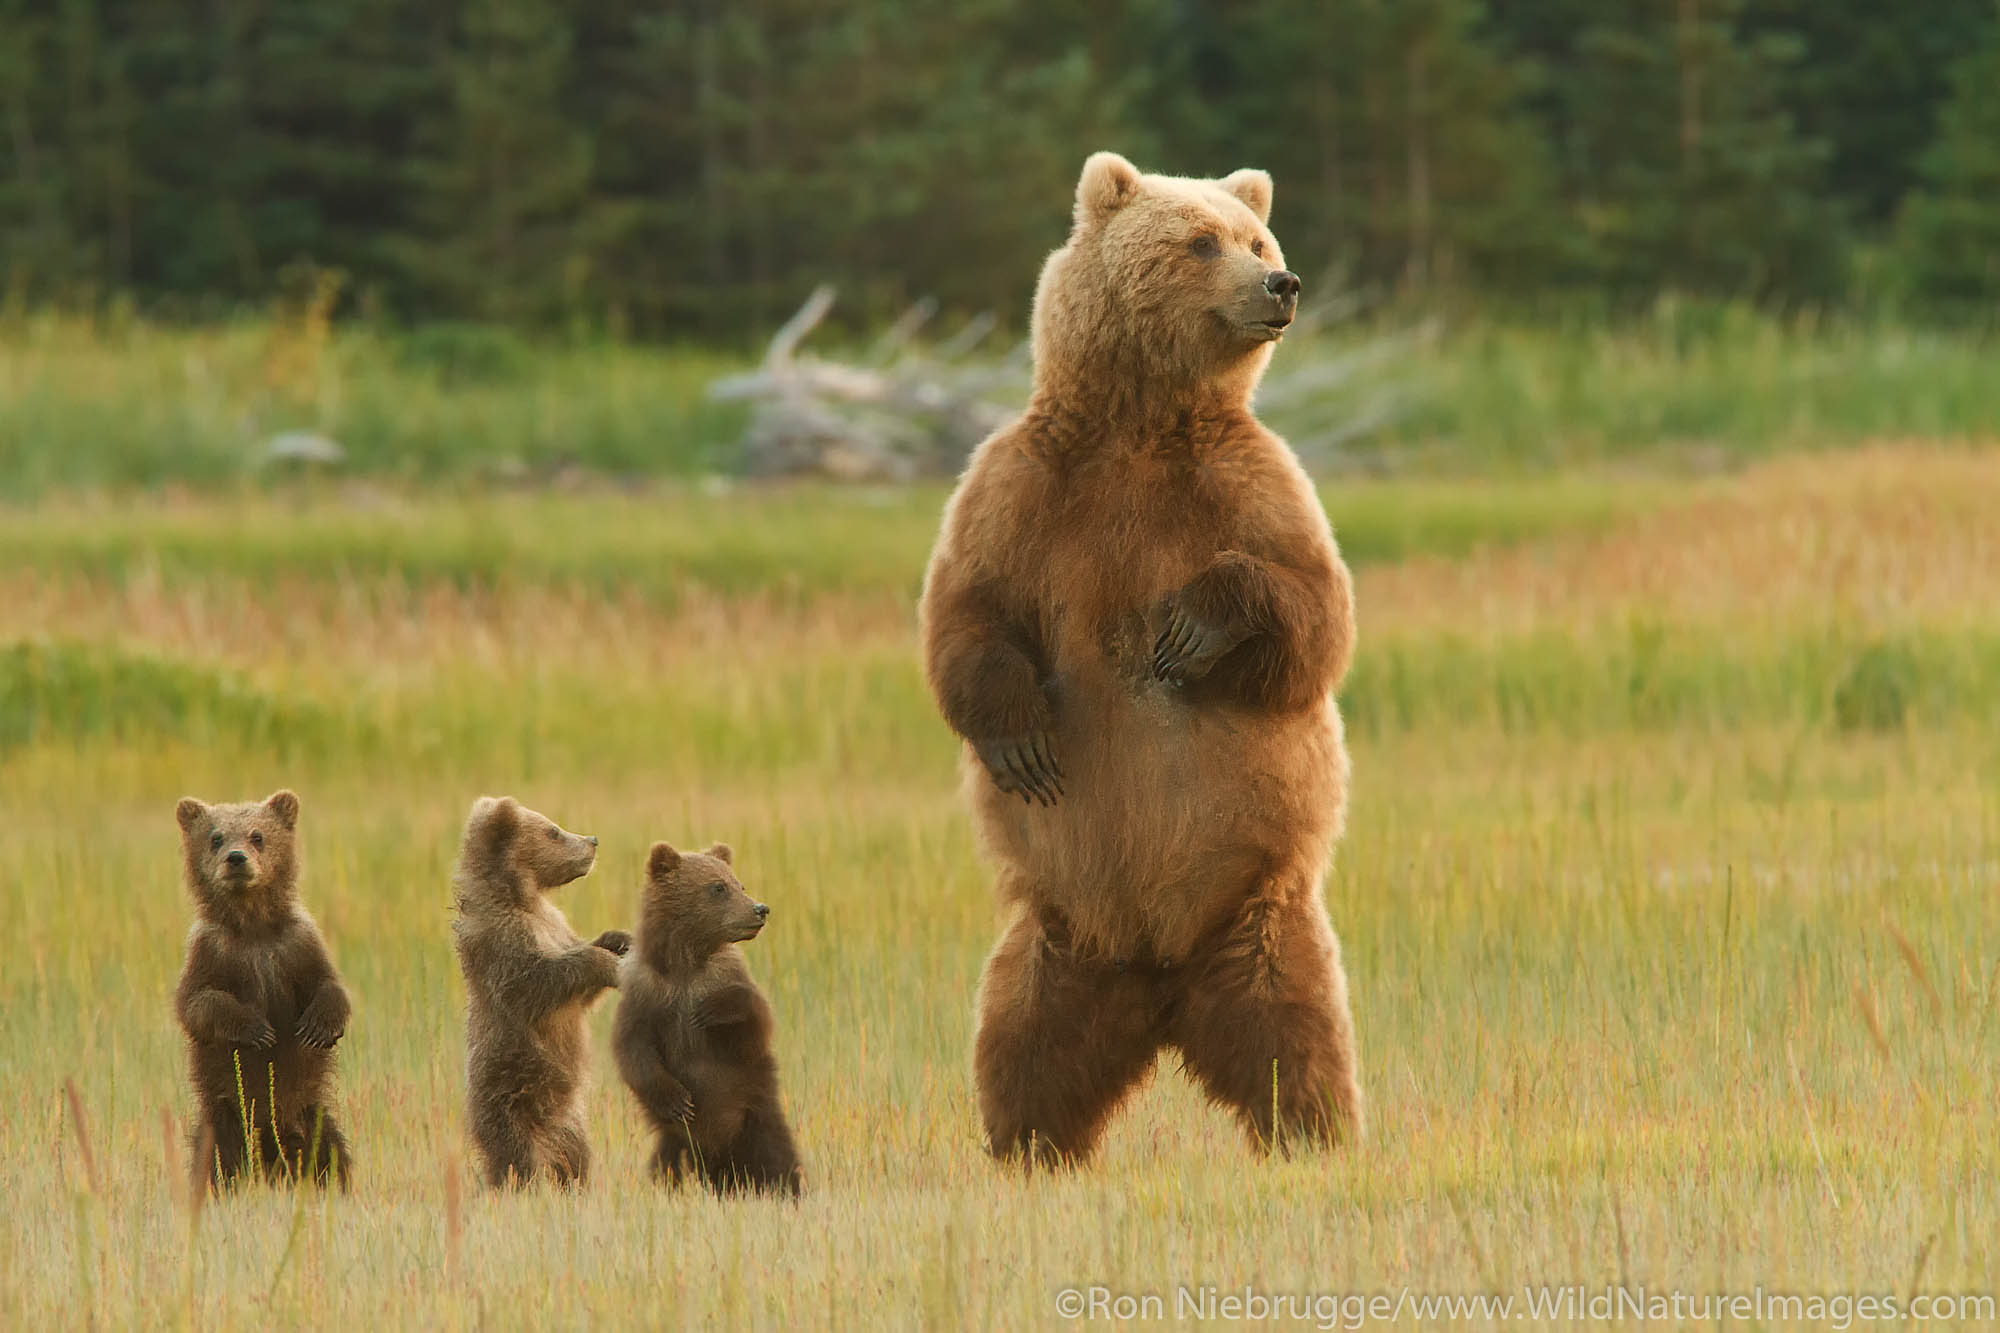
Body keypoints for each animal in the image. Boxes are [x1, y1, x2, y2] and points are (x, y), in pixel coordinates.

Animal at [174, 788, 354, 1184]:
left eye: (258, 835)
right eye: (215, 837)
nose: (236, 858)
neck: (253, 927)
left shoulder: (296, 946)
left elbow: (330, 985)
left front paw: (317, 1028)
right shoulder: (211, 952)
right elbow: (197, 1004)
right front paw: (256, 1029)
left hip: (313, 1117)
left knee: (333, 1158)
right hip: (225, 1120)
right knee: (215, 1163)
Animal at [450, 792, 628, 1184]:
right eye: (554, 831)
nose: (592, 840)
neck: (522, 898)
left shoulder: (555, 925)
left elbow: (579, 989)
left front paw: (620, 940)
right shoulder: (503, 945)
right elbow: (537, 983)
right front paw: (607, 963)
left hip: (571, 1124)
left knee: (577, 1160)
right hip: (510, 1100)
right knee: (517, 1161)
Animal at [612, 840, 800, 1192]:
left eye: (740, 884)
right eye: (718, 887)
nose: (760, 909)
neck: (686, 962)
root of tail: (716, 1161)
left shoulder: (725, 976)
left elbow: (754, 1031)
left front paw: (712, 1009)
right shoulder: (646, 993)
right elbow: (634, 1050)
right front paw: (678, 1101)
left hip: (755, 1120)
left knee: (778, 1163)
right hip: (675, 1144)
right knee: (665, 1169)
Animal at [916, 148, 1360, 1160]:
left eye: (1257, 238)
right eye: (1201, 241)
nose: (1282, 284)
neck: (1139, 424)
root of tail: (1160, 978)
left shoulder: (1254, 482)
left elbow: (1314, 615)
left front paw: (1189, 633)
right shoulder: (1021, 484)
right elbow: (966, 612)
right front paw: (1023, 740)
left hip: (1262, 917)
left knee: (1298, 1039)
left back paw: (1317, 1135)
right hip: (1059, 934)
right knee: (1023, 1038)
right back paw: (1026, 1145)